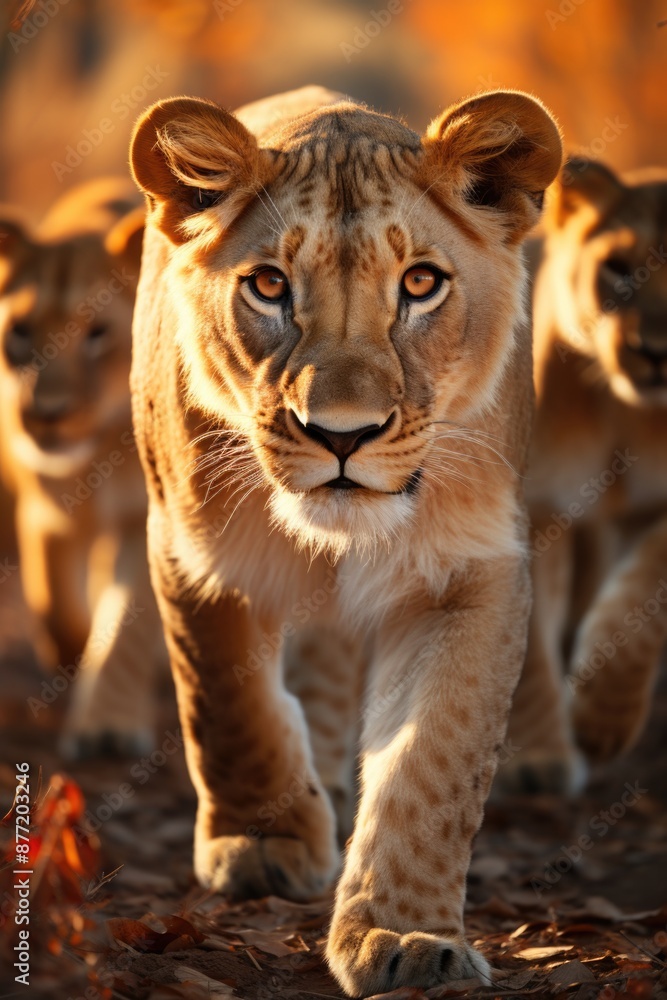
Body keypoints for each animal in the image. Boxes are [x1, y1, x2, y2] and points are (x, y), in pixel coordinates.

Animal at [0, 178, 163, 757]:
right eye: (20, 330)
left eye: (98, 333)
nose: (47, 414)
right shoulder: (48, 511)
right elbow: (56, 603)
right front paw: (70, 658)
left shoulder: (147, 522)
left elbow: (127, 630)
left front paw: (109, 728)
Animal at [129, 85, 562, 994]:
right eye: (267, 285)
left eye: (421, 283)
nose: (342, 434)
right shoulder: (190, 550)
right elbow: (223, 700)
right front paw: (263, 843)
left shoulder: (472, 573)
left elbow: (433, 763)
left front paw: (403, 936)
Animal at [502, 158, 667, 794]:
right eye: (618, 268)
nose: (654, 352)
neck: (633, 419)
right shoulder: (534, 507)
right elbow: (526, 649)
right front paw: (539, 758)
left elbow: (646, 598)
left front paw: (602, 719)